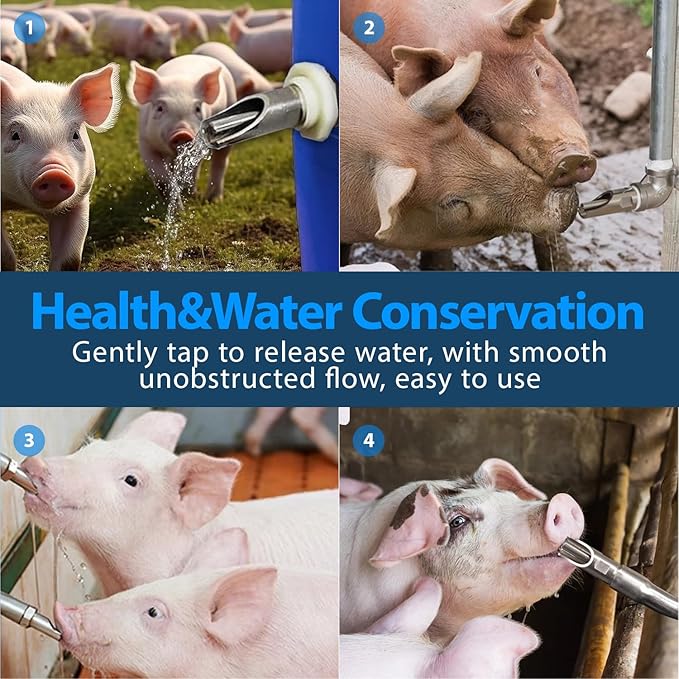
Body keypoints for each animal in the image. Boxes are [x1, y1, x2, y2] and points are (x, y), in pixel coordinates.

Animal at [1, 61, 121, 271]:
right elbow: (5, 257)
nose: (54, 173)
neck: (18, 204)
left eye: (75, 135)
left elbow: (69, 260)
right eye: (15, 135)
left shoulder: (80, 199)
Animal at [126, 54, 236, 201]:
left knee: (220, 162)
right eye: (160, 108)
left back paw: (213, 199)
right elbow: (161, 176)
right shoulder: (145, 142)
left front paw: (186, 196)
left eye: (197, 108)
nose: (182, 132)